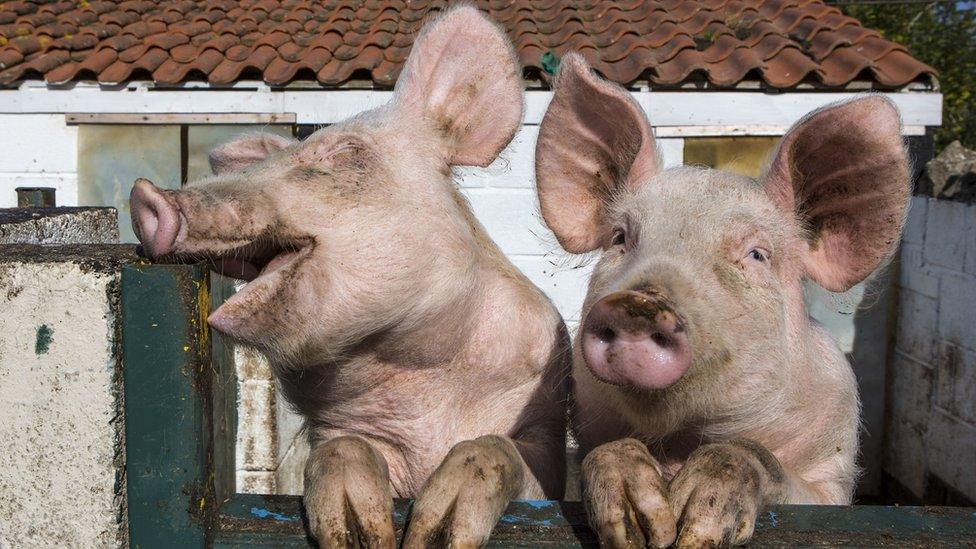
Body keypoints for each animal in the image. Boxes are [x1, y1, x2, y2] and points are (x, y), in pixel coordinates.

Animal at [131, 8, 572, 548]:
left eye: (346, 152)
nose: (145, 198)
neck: (410, 381)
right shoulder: (334, 434)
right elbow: (339, 451)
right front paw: (362, 532)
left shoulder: (545, 428)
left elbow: (499, 452)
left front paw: (435, 534)